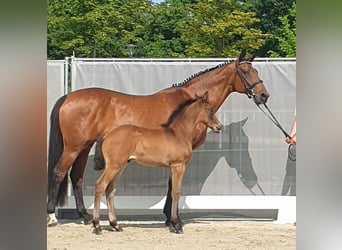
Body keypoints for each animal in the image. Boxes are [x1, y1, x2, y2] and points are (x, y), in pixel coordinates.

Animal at [93, 92, 222, 234]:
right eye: (210, 109)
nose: (219, 126)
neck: (178, 133)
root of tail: (108, 135)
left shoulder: (172, 167)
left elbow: (172, 191)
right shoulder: (178, 166)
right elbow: (176, 192)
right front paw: (177, 225)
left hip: (120, 167)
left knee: (110, 190)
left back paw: (115, 225)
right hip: (113, 166)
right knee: (100, 185)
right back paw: (97, 226)